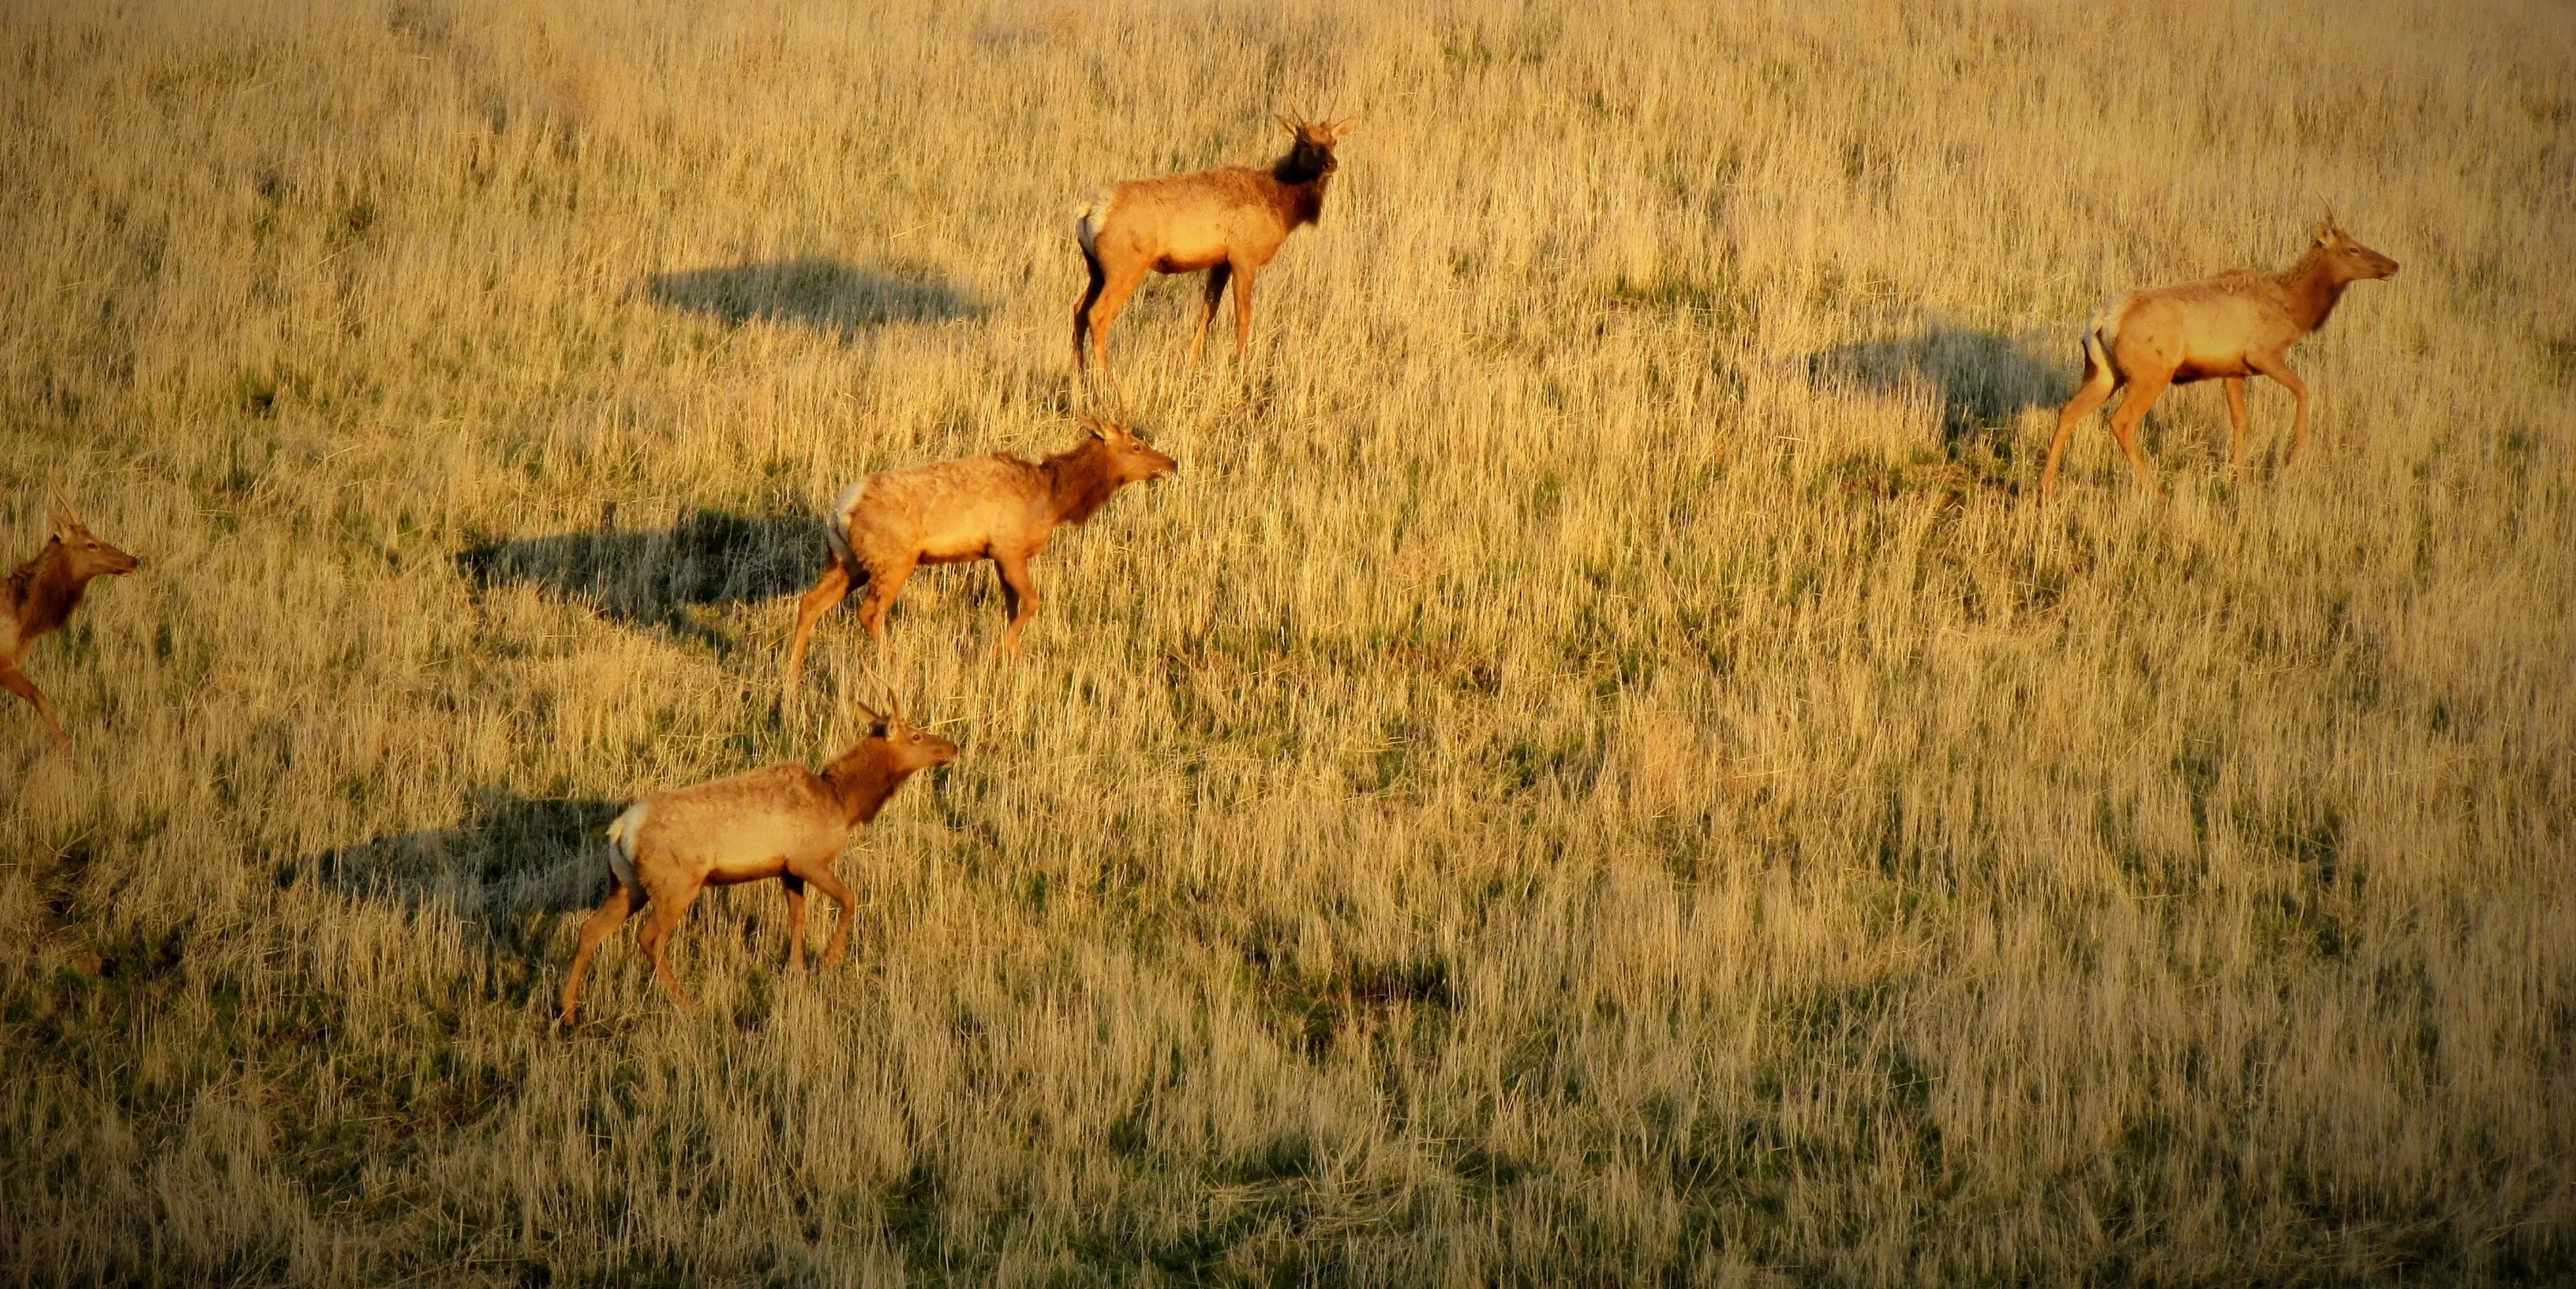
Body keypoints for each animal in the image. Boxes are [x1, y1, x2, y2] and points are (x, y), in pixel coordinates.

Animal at [557, 681, 958, 1026]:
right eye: (916, 734)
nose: (952, 748)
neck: (843, 805)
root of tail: (621, 830)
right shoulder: (807, 858)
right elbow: (849, 898)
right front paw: (828, 959)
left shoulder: (787, 868)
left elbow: (798, 916)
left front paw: (796, 970)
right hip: (676, 882)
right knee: (650, 938)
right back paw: (688, 1005)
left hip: (628, 884)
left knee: (590, 930)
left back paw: (569, 1013)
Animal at [781, 415, 1176, 687]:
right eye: (1136, 445)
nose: (1170, 463)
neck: (1054, 500)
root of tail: (840, 510)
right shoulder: (1009, 547)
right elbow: (1032, 602)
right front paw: (994, 654)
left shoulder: (999, 557)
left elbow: (1013, 606)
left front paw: (1015, 658)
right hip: (893, 560)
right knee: (869, 613)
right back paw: (892, 666)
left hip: (848, 562)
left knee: (811, 602)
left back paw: (793, 676)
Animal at [1071, 113, 1353, 395]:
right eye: (1304, 142)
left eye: (1334, 141)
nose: (1331, 163)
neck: (1279, 206)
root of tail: (1091, 211)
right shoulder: (1244, 256)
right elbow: (1243, 315)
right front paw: (1243, 370)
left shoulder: (1220, 262)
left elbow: (1208, 312)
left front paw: (1192, 365)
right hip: (1125, 265)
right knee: (1097, 314)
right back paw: (1105, 386)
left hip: (1096, 269)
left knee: (1078, 309)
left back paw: (1080, 380)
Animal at [2041, 214, 2400, 499]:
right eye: (2352, 248)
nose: (2394, 265)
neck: (2295, 311)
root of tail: (2103, 319)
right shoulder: (2263, 353)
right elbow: (2303, 391)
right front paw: (2291, 458)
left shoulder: (2234, 371)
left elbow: (2240, 421)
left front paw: (2241, 478)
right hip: (2151, 374)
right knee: (2121, 422)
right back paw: (2157, 492)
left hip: (2104, 373)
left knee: (2068, 412)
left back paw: (2047, 487)